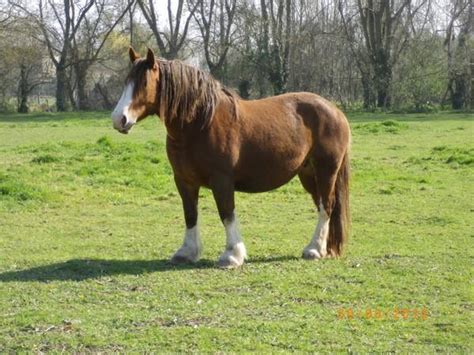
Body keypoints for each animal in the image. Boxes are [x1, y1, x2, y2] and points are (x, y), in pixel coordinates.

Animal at [110, 47, 348, 270]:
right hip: (308, 174)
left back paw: (314, 249)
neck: (199, 124)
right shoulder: (184, 181)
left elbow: (226, 213)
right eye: (126, 81)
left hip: (326, 171)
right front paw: (186, 253)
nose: (119, 119)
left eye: (144, 83)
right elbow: (190, 215)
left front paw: (232, 255)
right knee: (321, 205)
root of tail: (335, 111)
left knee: (327, 205)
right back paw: (322, 248)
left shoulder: (222, 180)